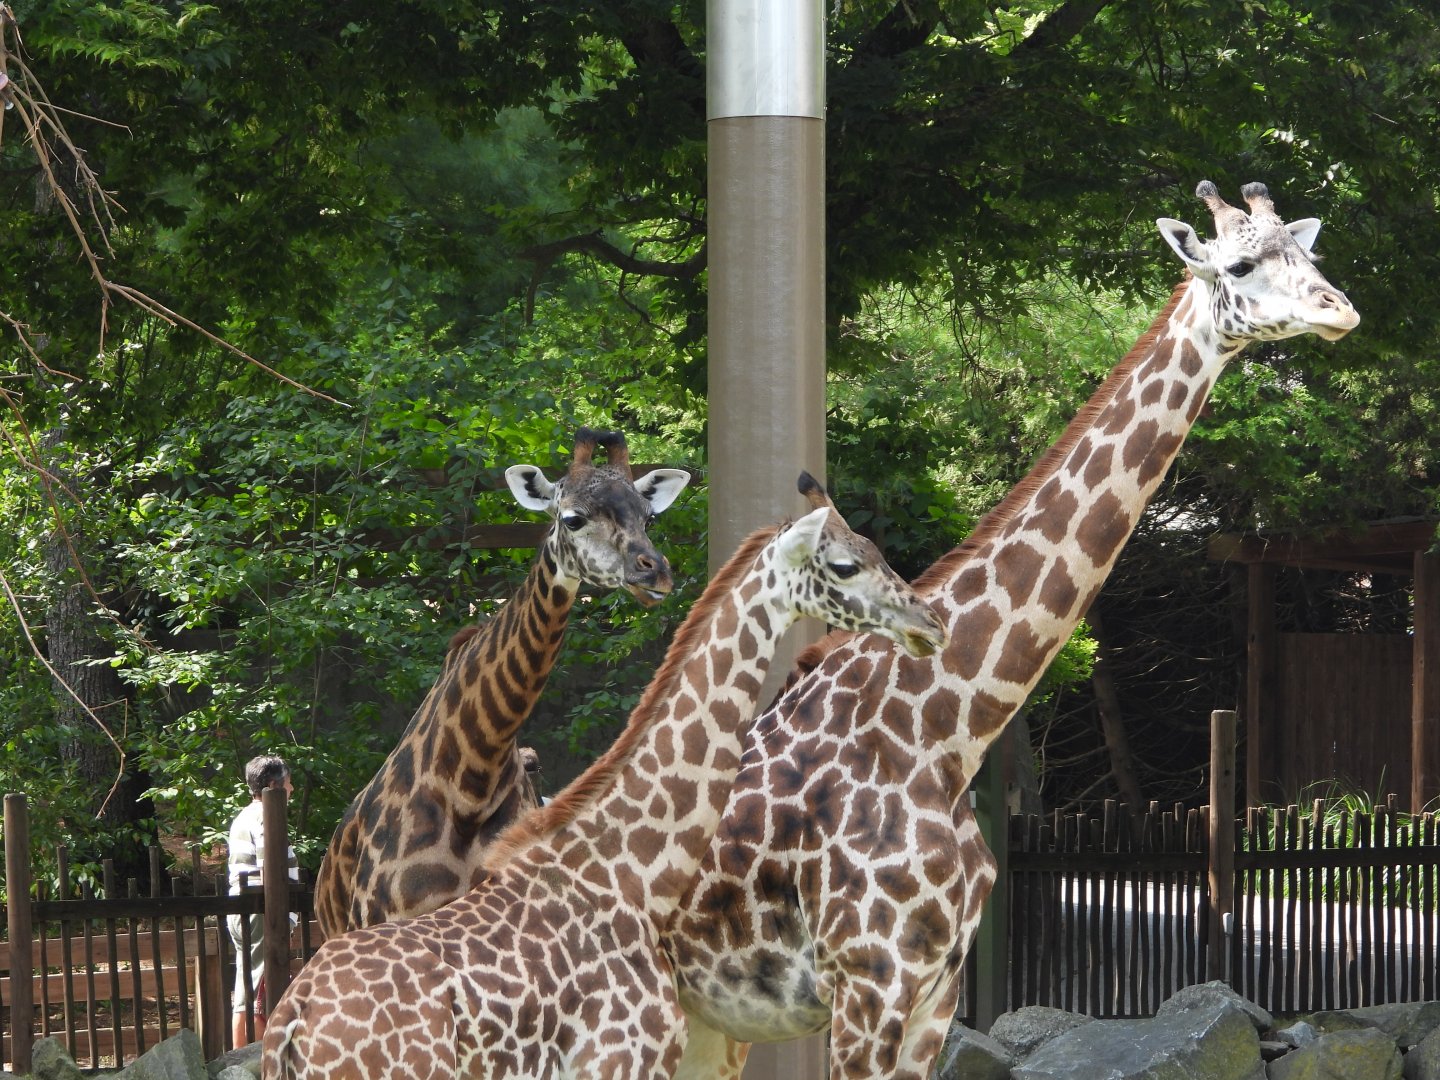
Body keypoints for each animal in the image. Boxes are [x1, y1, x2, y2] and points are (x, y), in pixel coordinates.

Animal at [664, 181, 1361, 1078]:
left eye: (1309, 254)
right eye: (1240, 266)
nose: (1339, 310)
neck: (941, 731)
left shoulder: (935, 990)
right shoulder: (866, 984)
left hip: (710, 1022)